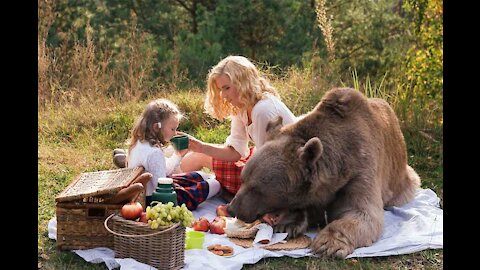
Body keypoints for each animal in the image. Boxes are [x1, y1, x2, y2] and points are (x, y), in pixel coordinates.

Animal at [228, 87, 420, 258]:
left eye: (257, 188)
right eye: (243, 179)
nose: (232, 208)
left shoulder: (361, 169)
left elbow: (362, 212)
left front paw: (327, 244)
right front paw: (287, 223)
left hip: (403, 180)